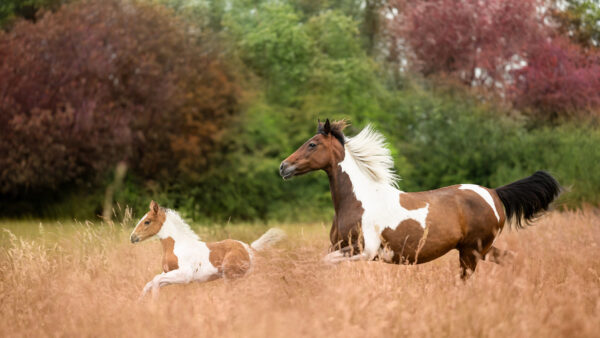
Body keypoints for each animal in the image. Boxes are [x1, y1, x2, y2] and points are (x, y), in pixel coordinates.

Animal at [131, 202, 286, 298]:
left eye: (147, 221)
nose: (132, 237)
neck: (177, 245)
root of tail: (249, 248)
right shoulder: (169, 272)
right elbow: (150, 283)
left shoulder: (185, 275)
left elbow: (156, 280)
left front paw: (154, 303)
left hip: (231, 277)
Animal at [278, 119, 560, 278]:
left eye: (312, 144)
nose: (283, 167)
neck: (358, 200)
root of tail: (493, 193)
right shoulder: (337, 247)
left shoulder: (364, 251)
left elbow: (325, 264)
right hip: (481, 249)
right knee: (510, 259)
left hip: (471, 251)